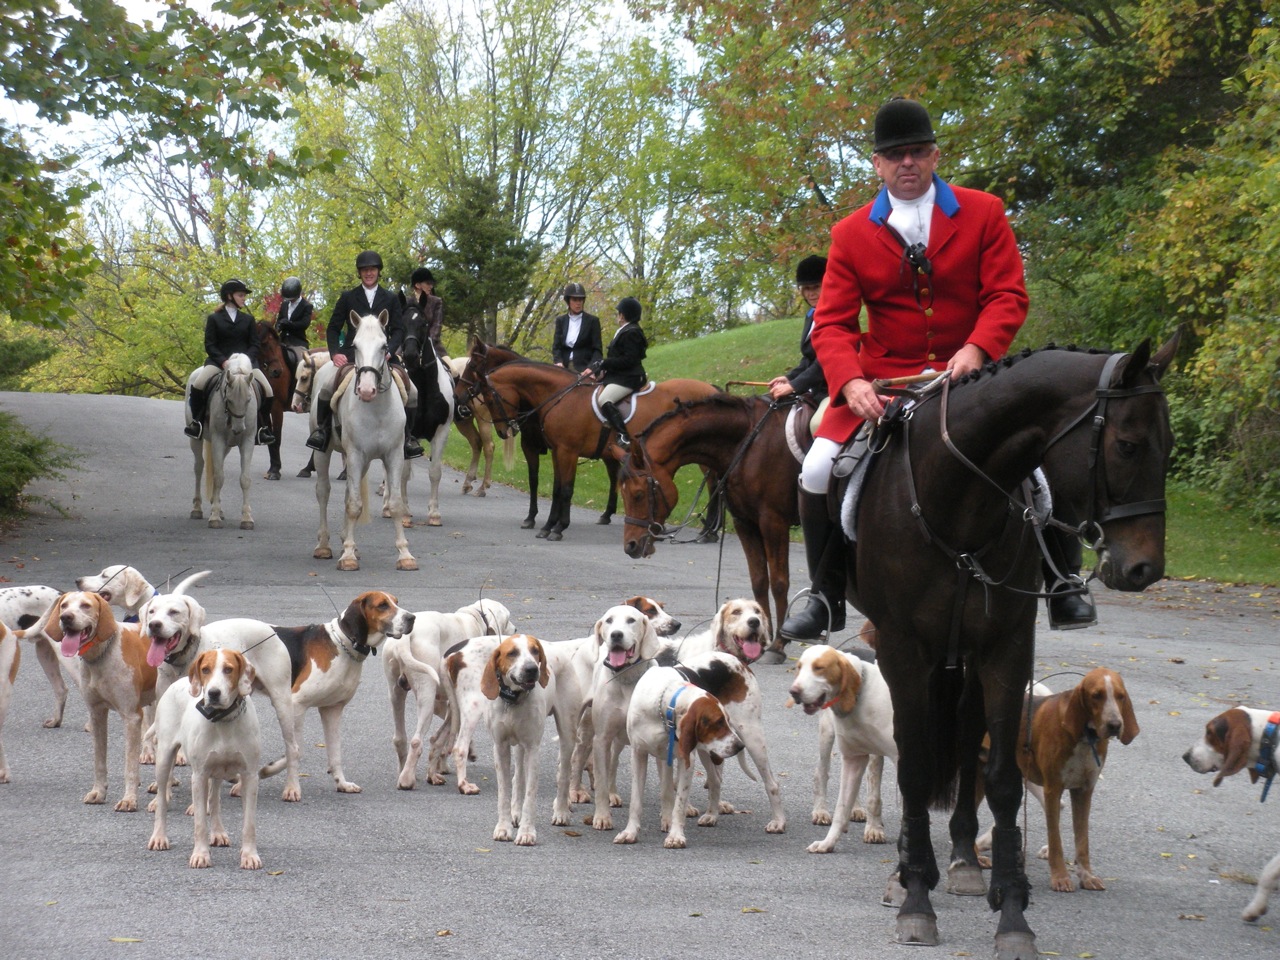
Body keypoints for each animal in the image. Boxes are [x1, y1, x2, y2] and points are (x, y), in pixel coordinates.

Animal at [185, 355, 257, 529]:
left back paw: (216, 507)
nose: (238, 429)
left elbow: (245, 479)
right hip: (196, 440)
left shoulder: (247, 441)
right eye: (229, 400)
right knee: (199, 467)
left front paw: (247, 518)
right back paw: (197, 509)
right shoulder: (218, 439)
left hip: (227, 447)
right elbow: (218, 477)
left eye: (249, 400)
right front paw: (214, 518)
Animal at [307, 312, 412, 570]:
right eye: (355, 346)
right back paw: (324, 545)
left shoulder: (394, 455)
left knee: (347, 492)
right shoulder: (355, 454)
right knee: (323, 492)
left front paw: (405, 555)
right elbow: (354, 505)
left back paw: (348, 541)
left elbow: (395, 504)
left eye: (384, 346)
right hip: (324, 453)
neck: (377, 410)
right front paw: (347, 557)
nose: (366, 390)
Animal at [460, 343, 727, 542]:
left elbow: (565, 489)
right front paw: (547, 525)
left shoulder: (567, 451)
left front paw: (558, 528)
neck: (560, 396)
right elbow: (556, 488)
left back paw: (708, 532)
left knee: (715, 484)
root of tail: (712, 390)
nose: (503, 431)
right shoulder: (557, 451)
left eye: (472, 365)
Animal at [849, 335, 1177, 957]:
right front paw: (915, 897)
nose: (1144, 569)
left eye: (1169, 446)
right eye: (1127, 444)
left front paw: (1013, 912)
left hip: (967, 662)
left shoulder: (1005, 647)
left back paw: (962, 860)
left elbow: (1001, 780)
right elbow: (914, 768)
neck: (959, 497)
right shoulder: (905, 650)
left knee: (966, 747)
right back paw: (908, 868)